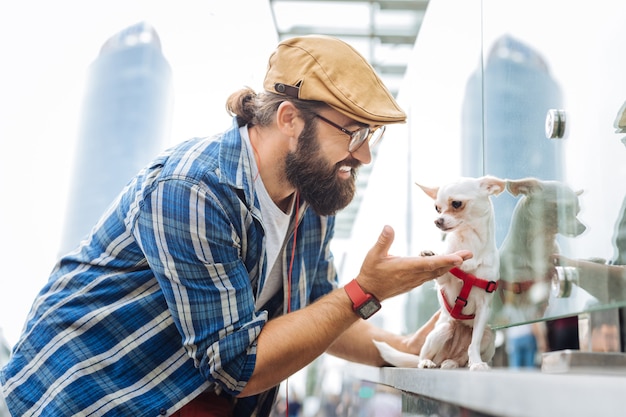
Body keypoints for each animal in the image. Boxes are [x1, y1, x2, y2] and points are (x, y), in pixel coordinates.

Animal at [372, 174, 504, 368]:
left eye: (456, 203)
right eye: (437, 208)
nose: (437, 221)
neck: (469, 241)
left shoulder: (483, 307)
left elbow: (474, 342)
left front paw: (476, 363)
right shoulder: (445, 281)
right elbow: (442, 273)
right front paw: (429, 254)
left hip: (489, 335)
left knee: (461, 356)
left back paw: (454, 363)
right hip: (441, 330)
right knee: (425, 356)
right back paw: (427, 362)